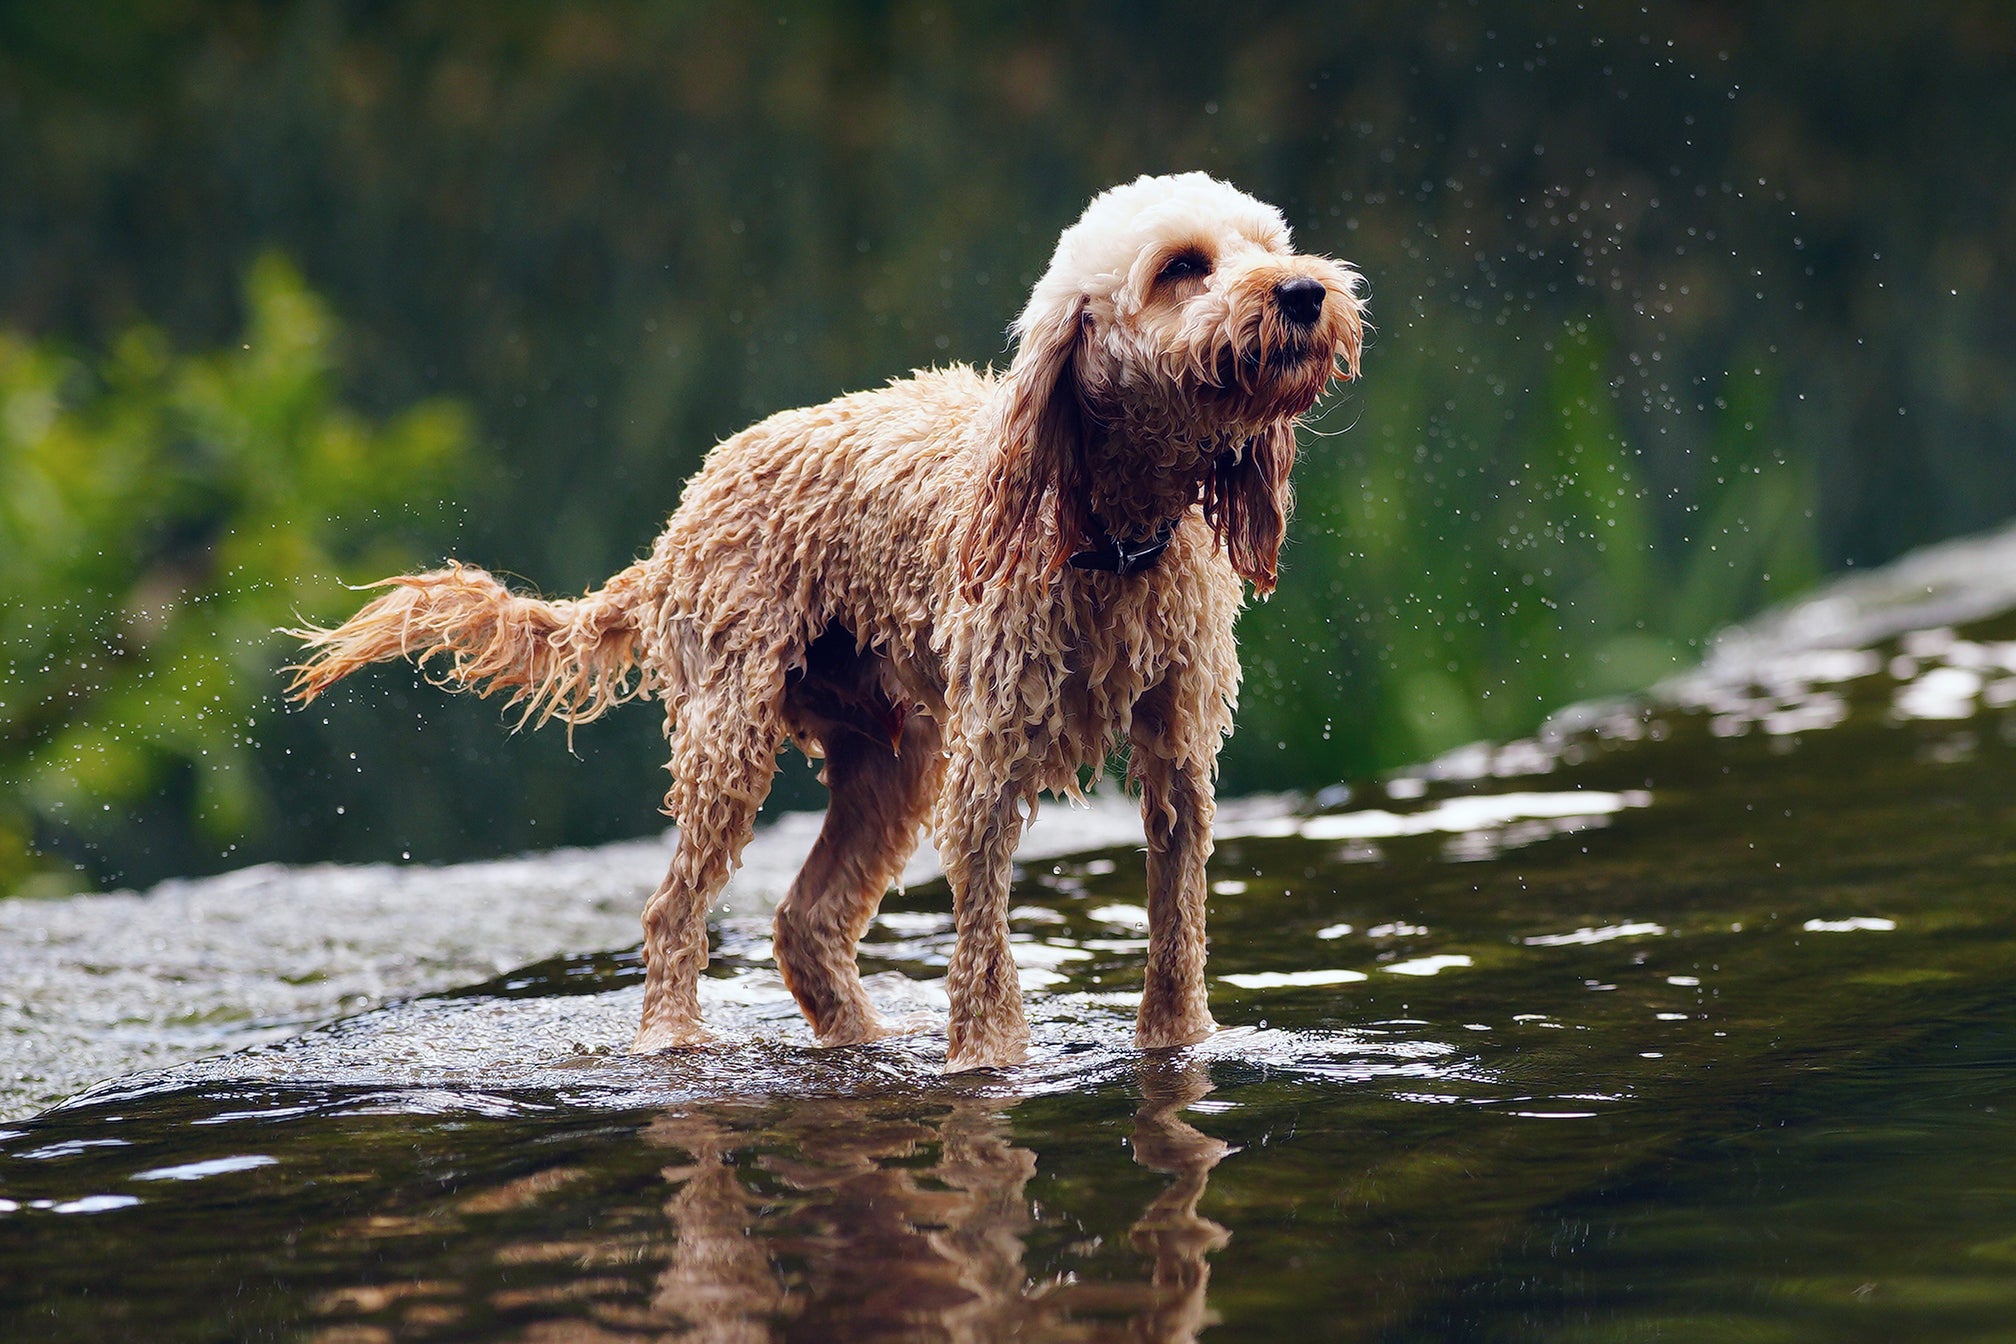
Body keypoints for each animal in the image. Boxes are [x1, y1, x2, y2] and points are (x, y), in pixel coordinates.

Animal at [292, 173, 1362, 1071]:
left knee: (803, 925)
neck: (1109, 536)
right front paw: (987, 1059)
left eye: (1266, 243)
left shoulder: (1178, 756)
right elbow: (983, 945)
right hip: (734, 736)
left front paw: (1180, 1045)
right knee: (673, 912)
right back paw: (673, 1039)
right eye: (1183, 266)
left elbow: (1177, 930)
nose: (1305, 293)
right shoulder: (986, 770)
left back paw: (860, 1041)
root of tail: (678, 524)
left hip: (889, 761)